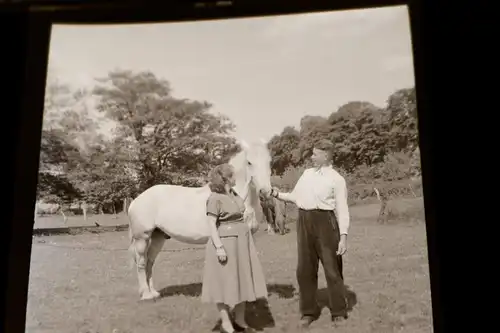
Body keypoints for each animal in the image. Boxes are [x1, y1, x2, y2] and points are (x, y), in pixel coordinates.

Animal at [127, 139, 272, 300]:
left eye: (269, 161)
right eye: (249, 162)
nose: (265, 191)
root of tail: (136, 200)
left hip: (158, 237)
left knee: (149, 262)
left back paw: (154, 293)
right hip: (142, 238)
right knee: (141, 263)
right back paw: (146, 295)